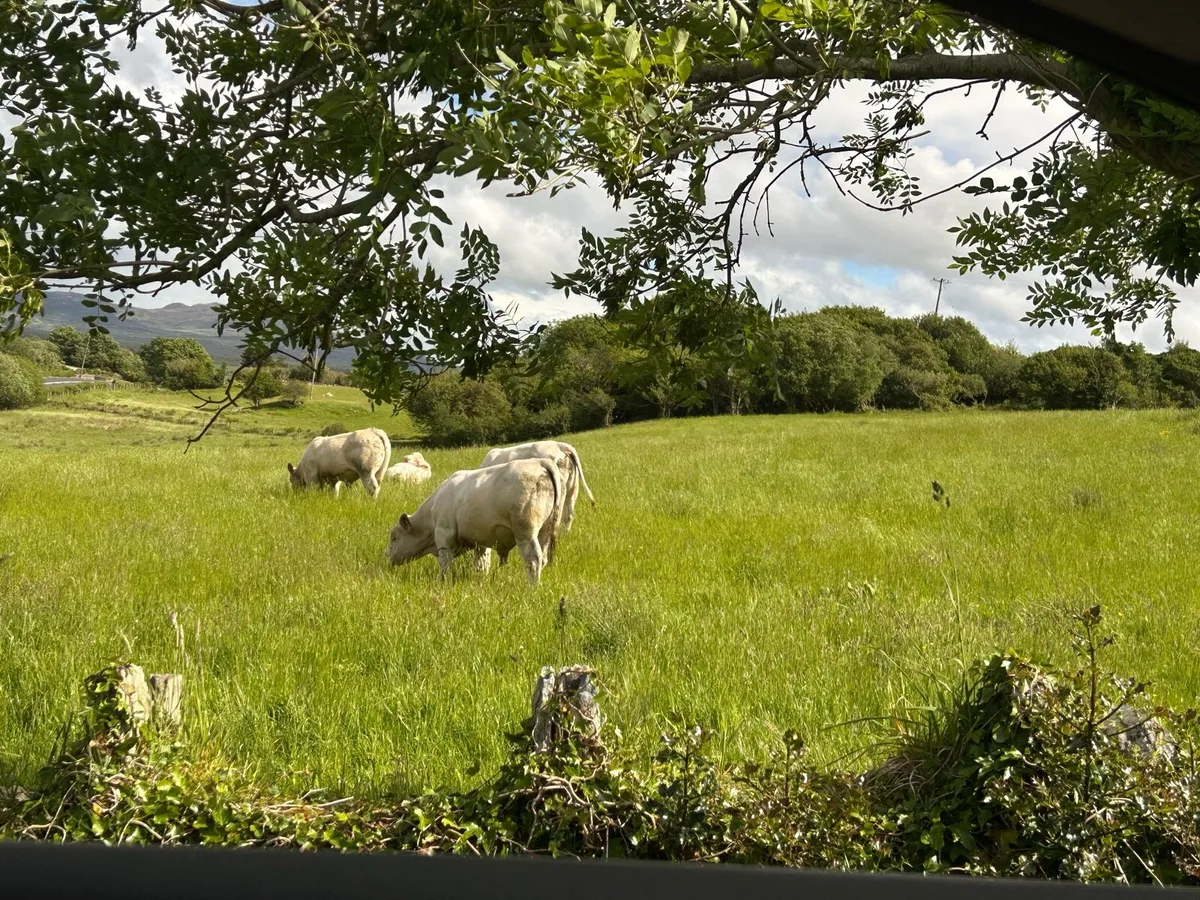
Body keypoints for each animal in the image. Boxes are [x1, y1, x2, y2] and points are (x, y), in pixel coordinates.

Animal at [386, 458, 562, 585]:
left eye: (394, 537)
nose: (386, 556)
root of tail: (539, 462)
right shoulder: (481, 542)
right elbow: (481, 564)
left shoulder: (444, 534)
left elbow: (444, 562)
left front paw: (443, 582)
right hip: (546, 530)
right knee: (543, 558)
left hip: (525, 532)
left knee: (533, 559)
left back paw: (532, 587)